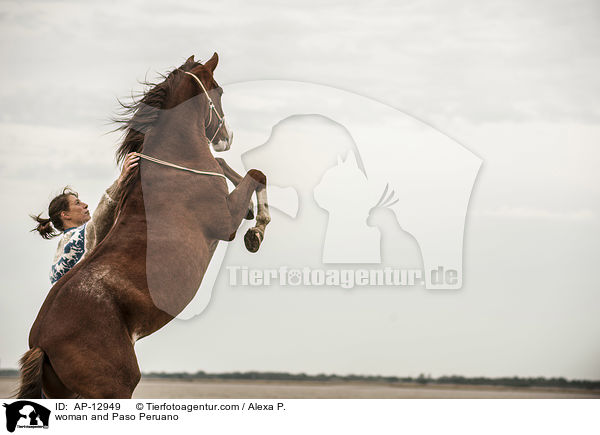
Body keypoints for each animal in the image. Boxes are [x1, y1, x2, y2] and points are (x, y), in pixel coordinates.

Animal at [17, 52, 270, 400]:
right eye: (218, 91)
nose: (227, 138)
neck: (176, 164)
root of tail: (40, 343)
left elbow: (228, 169)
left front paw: (249, 209)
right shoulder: (224, 225)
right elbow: (257, 175)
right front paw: (256, 230)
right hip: (117, 386)